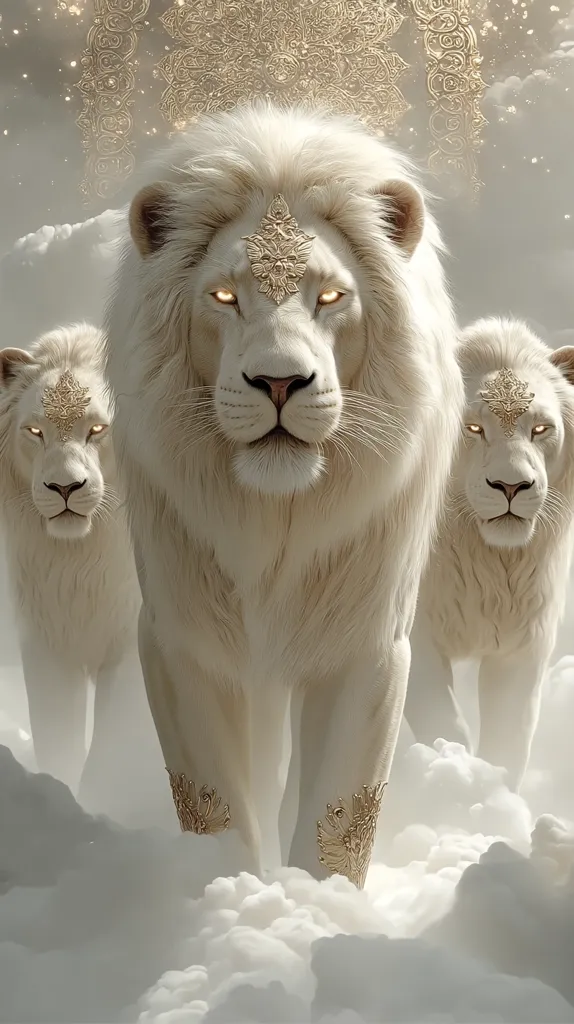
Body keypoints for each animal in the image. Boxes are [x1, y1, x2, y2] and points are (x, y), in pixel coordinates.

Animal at [0, 322, 145, 818]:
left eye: (98, 428)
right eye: (35, 430)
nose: (64, 487)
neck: (80, 562)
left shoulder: (132, 645)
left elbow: (112, 743)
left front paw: (105, 804)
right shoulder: (48, 643)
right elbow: (57, 738)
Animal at [104, 102, 464, 886]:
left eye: (330, 296)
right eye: (224, 296)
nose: (278, 381)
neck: (273, 518)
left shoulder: (366, 641)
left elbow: (340, 810)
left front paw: (315, 904)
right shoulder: (180, 637)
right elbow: (213, 801)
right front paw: (227, 890)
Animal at [404, 318, 574, 791]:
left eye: (540, 429)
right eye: (473, 428)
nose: (511, 486)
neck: (488, 560)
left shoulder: (522, 644)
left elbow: (509, 739)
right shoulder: (412, 635)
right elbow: (440, 718)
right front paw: (454, 772)